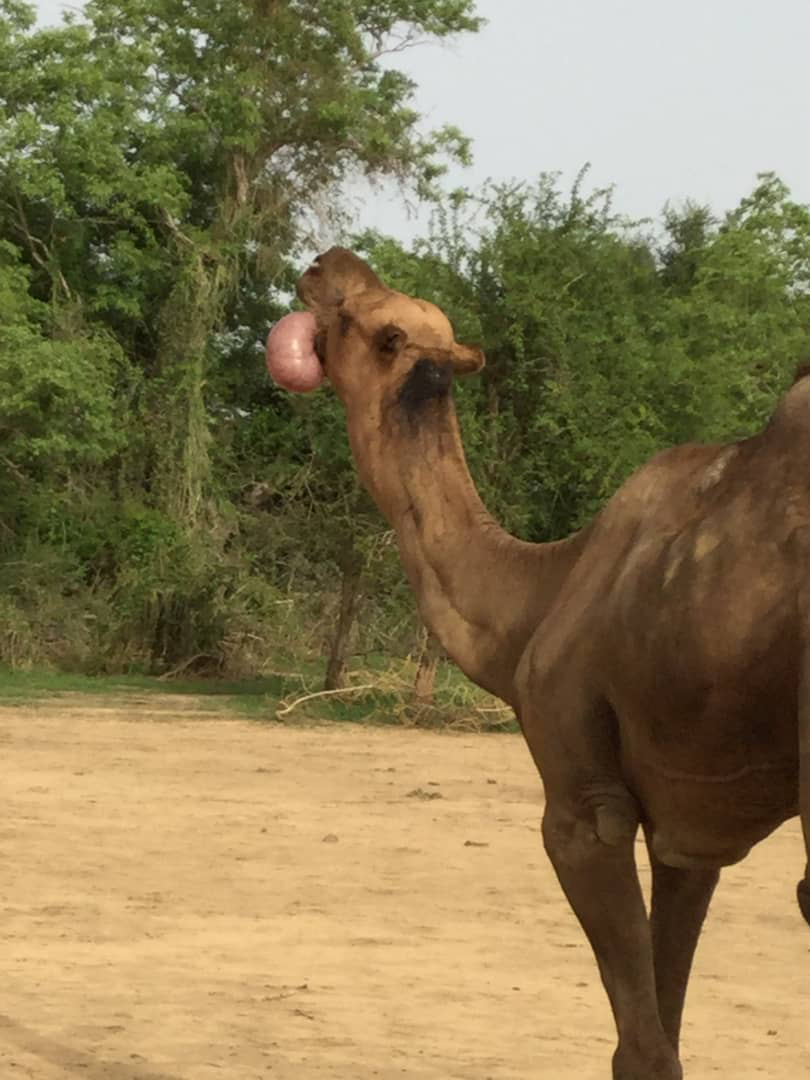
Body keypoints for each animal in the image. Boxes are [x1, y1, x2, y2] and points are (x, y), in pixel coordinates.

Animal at [266, 247, 810, 1080]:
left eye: (370, 321)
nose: (329, 262)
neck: (539, 595)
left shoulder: (584, 804)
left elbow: (641, 1050)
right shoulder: (687, 833)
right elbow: (668, 1022)